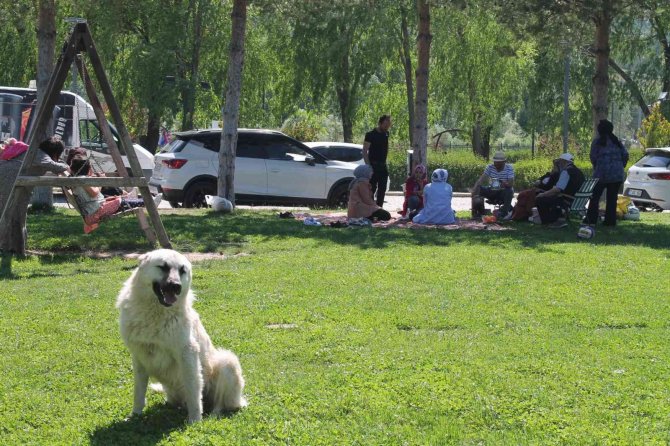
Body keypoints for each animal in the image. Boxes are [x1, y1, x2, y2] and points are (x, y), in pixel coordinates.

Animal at [117, 249, 248, 424]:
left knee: (220, 404)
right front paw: (135, 415)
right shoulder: (139, 357)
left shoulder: (187, 355)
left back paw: (213, 415)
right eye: (163, 267)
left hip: (228, 361)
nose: (176, 286)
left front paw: (195, 421)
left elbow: (193, 391)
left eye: (182, 270)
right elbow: (138, 392)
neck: (155, 313)